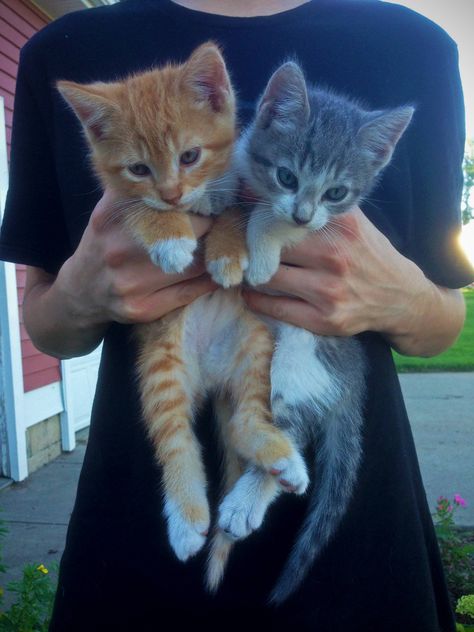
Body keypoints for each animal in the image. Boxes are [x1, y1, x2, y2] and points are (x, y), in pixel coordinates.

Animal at [57, 43, 308, 568]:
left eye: (190, 156)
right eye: (139, 169)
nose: (171, 194)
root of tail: (211, 375)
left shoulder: (241, 187)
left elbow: (236, 210)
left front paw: (228, 252)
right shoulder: (115, 203)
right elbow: (137, 208)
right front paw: (170, 236)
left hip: (254, 350)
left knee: (244, 421)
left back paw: (281, 457)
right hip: (162, 365)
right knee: (176, 438)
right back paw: (188, 518)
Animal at [206, 61, 412, 604]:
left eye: (336, 192)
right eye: (287, 175)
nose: (301, 211)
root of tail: (352, 382)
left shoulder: (325, 228)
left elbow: (277, 222)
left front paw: (262, 247)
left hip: (301, 359)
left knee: (290, 429)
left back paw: (248, 500)